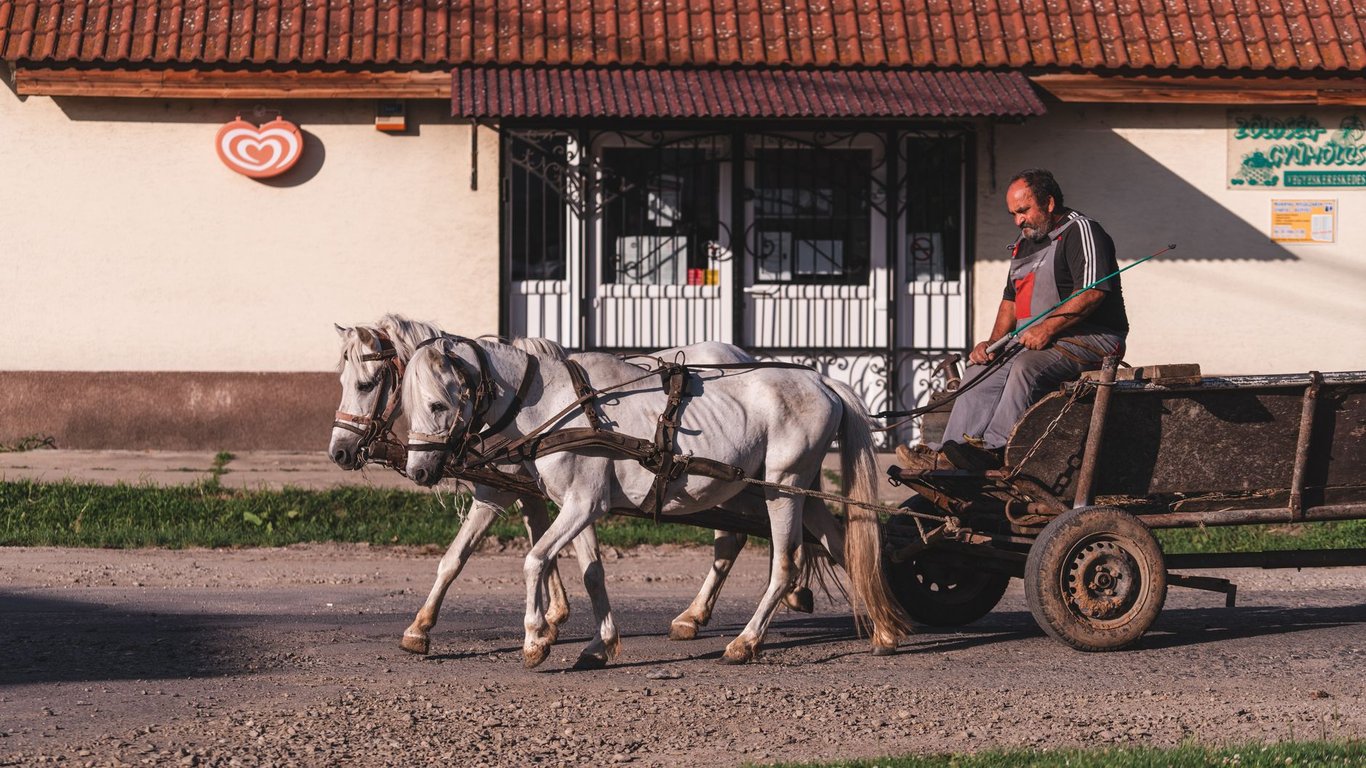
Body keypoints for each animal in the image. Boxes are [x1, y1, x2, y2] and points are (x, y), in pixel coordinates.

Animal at [329, 315, 821, 665]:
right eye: (342, 383)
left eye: (367, 384)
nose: (339, 451)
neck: (528, 405)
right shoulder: (517, 491)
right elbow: (472, 557)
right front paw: (423, 628)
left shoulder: (545, 495)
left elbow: (535, 556)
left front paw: (542, 628)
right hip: (738, 486)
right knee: (746, 540)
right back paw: (704, 616)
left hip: (774, 486)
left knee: (772, 551)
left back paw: (738, 630)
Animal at [402, 336, 914, 666]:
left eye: (437, 405)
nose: (419, 471)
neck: (556, 405)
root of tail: (825, 384)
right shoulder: (577, 505)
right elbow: (590, 572)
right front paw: (599, 644)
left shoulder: (582, 505)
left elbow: (534, 560)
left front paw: (535, 639)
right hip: (800, 492)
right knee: (842, 545)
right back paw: (886, 630)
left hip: (781, 488)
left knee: (785, 566)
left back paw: (745, 642)